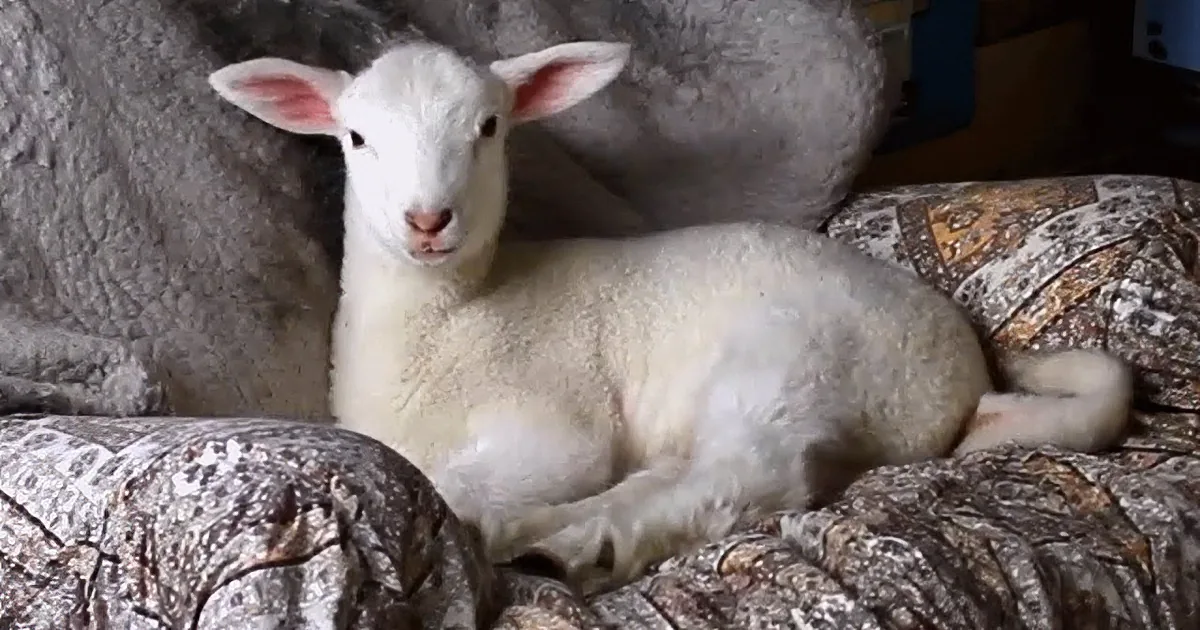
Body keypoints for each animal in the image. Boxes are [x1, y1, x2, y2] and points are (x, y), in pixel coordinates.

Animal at [208, 40, 1133, 593]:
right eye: (356, 138)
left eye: (489, 126)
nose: (428, 221)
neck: (461, 314)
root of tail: (965, 377)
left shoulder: (551, 423)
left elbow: (455, 482)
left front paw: (469, 512)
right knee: (682, 472)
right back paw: (551, 536)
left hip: (802, 359)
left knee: (750, 477)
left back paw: (584, 545)